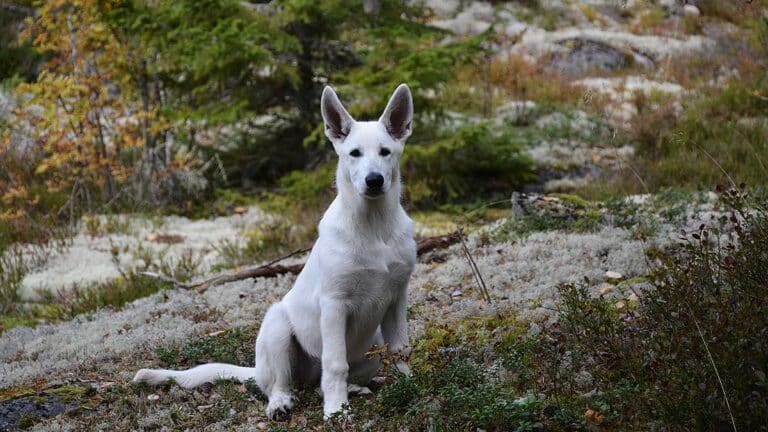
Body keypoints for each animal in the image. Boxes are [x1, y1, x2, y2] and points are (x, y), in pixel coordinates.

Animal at [135, 82, 416, 420]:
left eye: (386, 152)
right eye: (354, 153)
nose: (374, 181)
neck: (374, 226)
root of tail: (257, 370)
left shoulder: (397, 297)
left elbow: (401, 350)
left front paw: (411, 386)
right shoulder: (334, 304)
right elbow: (336, 363)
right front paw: (336, 411)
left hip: (371, 347)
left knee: (322, 383)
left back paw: (353, 388)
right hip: (278, 327)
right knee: (281, 384)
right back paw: (282, 403)